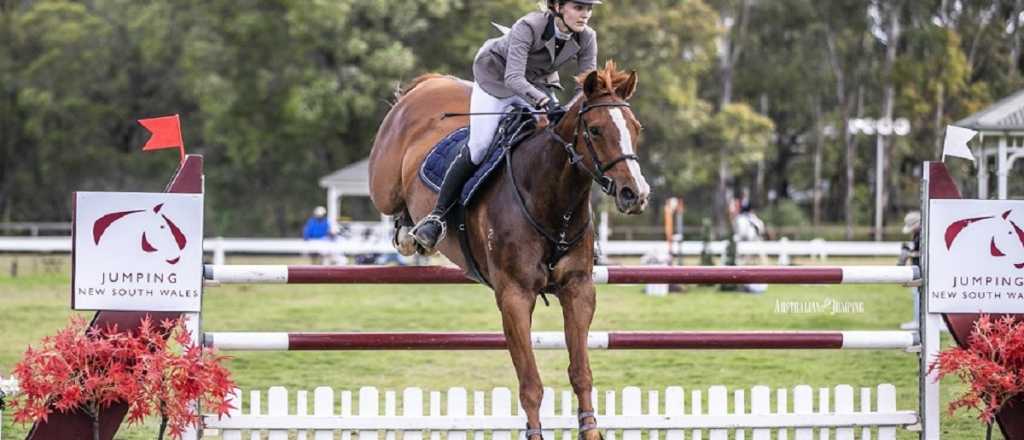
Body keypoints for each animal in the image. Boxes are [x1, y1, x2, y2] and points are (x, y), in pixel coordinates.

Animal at [368, 61, 647, 435]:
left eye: (635, 128)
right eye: (596, 130)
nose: (636, 194)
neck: (551, 198)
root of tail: (429, 84)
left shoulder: (579, 290)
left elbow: (580, 372)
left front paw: (590, 429)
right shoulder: (515, 296)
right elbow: (531, 384)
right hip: (383, 183)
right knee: (393, 205)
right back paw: (415, 233)